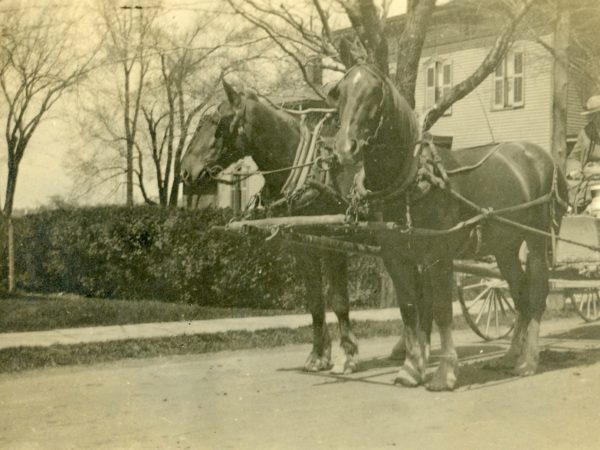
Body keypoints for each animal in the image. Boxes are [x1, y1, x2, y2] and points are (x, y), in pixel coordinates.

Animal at [180, 79, 376, 374]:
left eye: (217, 123)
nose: (185, 171)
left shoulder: (334, 242)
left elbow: (339, 299)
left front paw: (348, 355)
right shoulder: (302, 244)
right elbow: (315, 301)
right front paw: (318, 356)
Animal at [328, 52, 568, 390]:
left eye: (374, 92)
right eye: (341, 91)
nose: (344, 148)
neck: (410, 179)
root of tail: (544, 157)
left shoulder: (438, 257)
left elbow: (441, 309)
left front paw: (445, 372)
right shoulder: (396, 257)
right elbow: (411, 309)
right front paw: (411, 369)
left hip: (537, 239)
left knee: (537, 293)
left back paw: (528, 360)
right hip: (505, 247)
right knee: (519, 293)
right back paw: (509, 356)